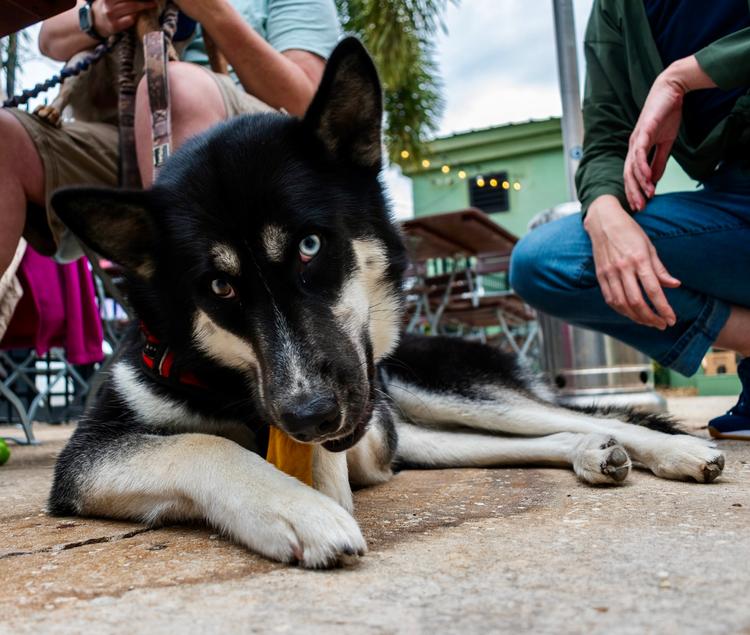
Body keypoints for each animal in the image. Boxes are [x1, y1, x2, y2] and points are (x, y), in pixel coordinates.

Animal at [48, 37, 728, 568]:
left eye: (310, 246)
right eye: (220, 288)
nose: (308, 414)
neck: (228, 385)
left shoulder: (362, 430)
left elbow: (273, 452)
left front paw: (306, 497)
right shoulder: (87, 457)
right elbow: (203, 443)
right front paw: (296, 507)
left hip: (433, 388)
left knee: (571, 414)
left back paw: (678, 450)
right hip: (414, 422)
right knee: (533, 434)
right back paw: (591, 454)